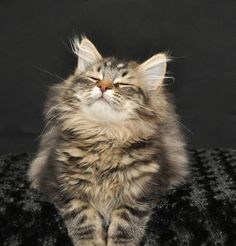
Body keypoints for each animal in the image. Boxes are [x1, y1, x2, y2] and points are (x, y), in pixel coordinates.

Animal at [27, 37, 189, 246]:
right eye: (95, 79)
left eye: (122, 84)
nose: (103, 86)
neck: (105, 134)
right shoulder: (63, 186)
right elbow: (83, 219)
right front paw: (90, 242)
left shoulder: (140, 192)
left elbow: (125, 226)